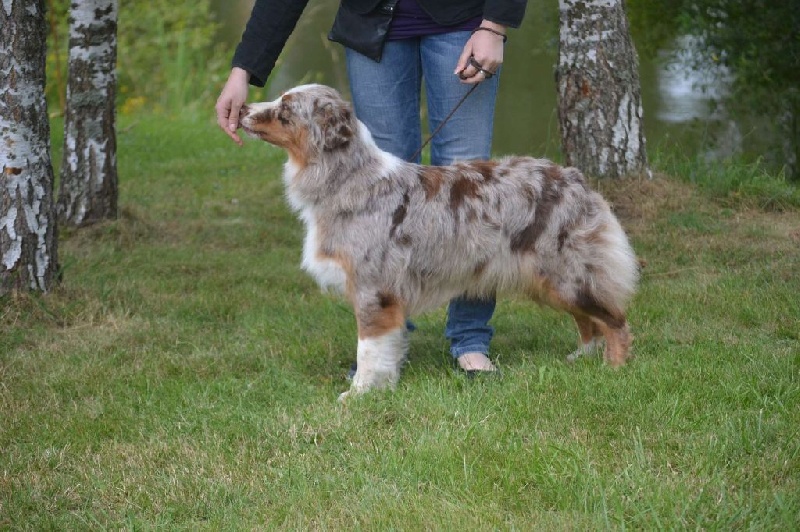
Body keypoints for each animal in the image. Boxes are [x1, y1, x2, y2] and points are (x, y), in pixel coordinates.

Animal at [241, 85, 640, 396]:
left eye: (284, 111)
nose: (243, 108)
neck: (346, 177)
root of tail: (574, 177)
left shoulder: (373, 290)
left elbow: (368, 349)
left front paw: (359, 394)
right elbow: (384, 347)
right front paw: (382, 383)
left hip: (565, 274)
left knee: (615, 320)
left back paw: (615, 370)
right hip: (551, 280)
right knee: (589, 321)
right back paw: (582, 358)